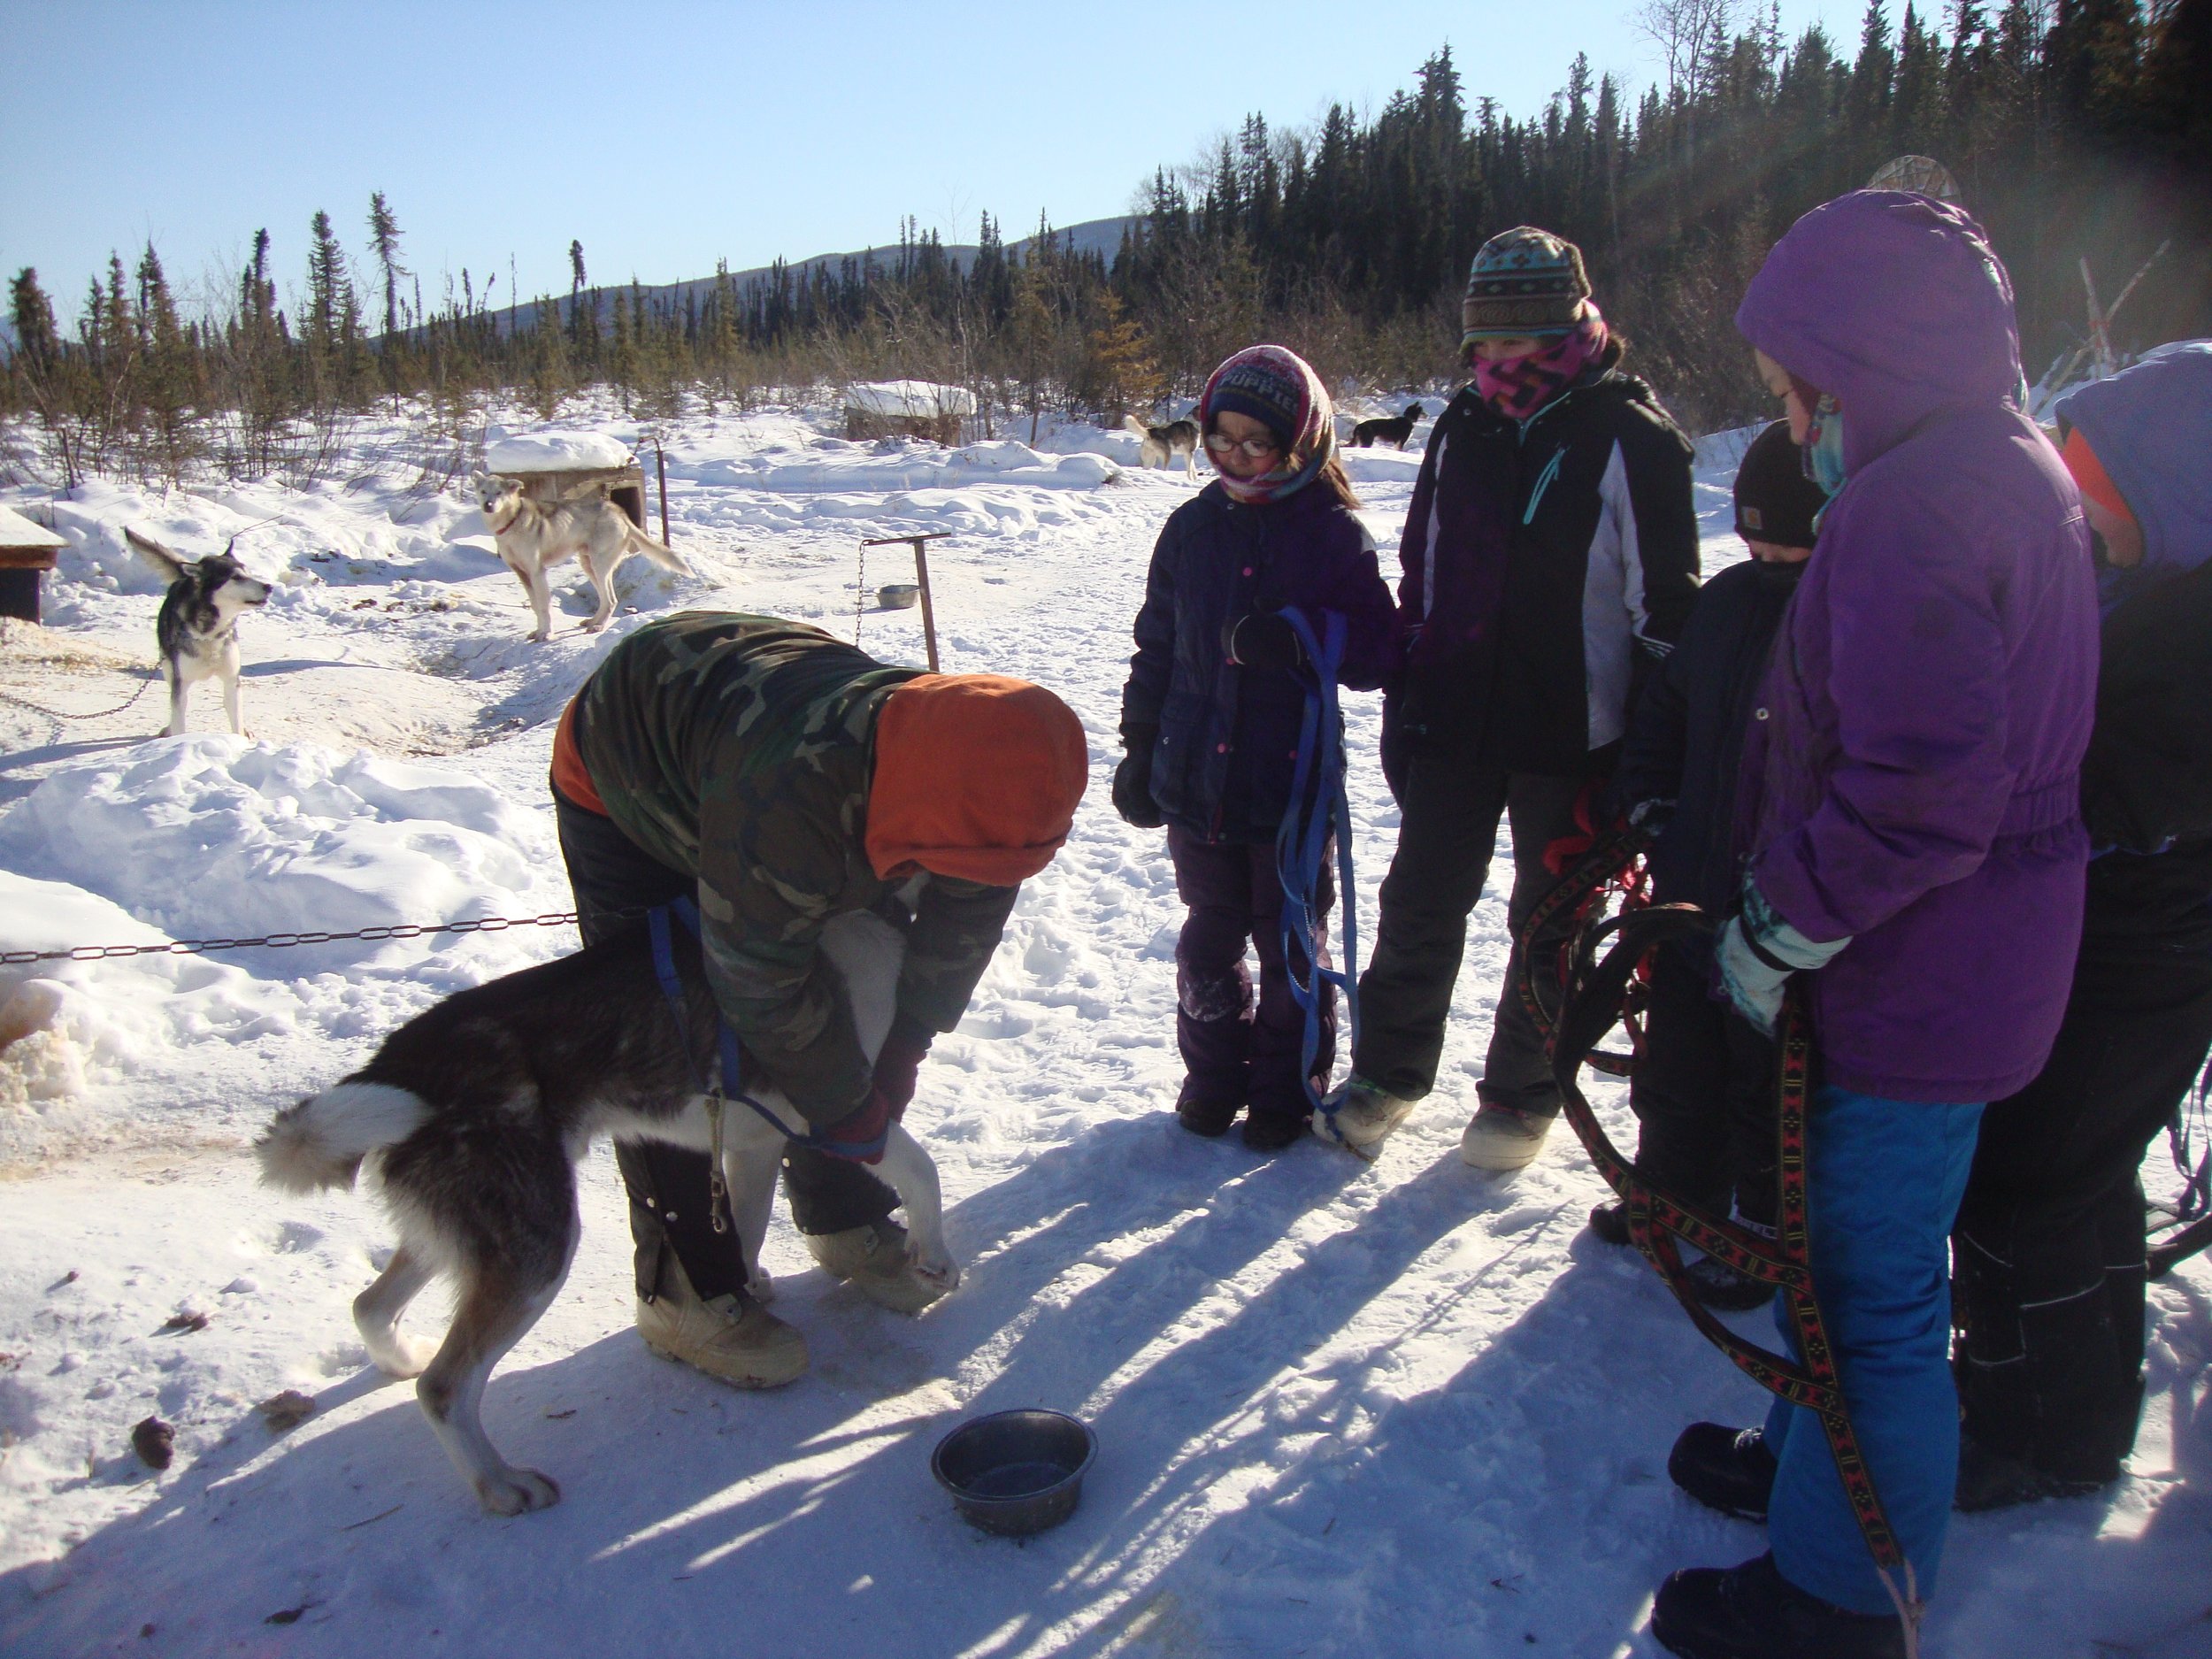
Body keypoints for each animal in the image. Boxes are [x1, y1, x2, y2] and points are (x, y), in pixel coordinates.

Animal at [123, 528, 270, 739]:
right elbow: (178, 718)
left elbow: (236, 719)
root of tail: (185, 578)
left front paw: (240, 736)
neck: (210, 634)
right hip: (169, 668)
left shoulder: (231, 679)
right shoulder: (180, 683)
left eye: (248, 573)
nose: (269, 587)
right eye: (236, 577)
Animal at [478, 478, 686, 646]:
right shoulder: (522, 574)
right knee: (605, 600)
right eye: (483, 491)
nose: (488, 505)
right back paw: (593, 621)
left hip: (599, 565)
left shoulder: (537, 572)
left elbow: (544, 607)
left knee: (611, 599)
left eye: (499, 492)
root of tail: (619, 511)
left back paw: (599, 626)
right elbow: (536, 606)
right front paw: (538, 631)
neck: (512, 521)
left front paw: (546, 634)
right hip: (589, 565)